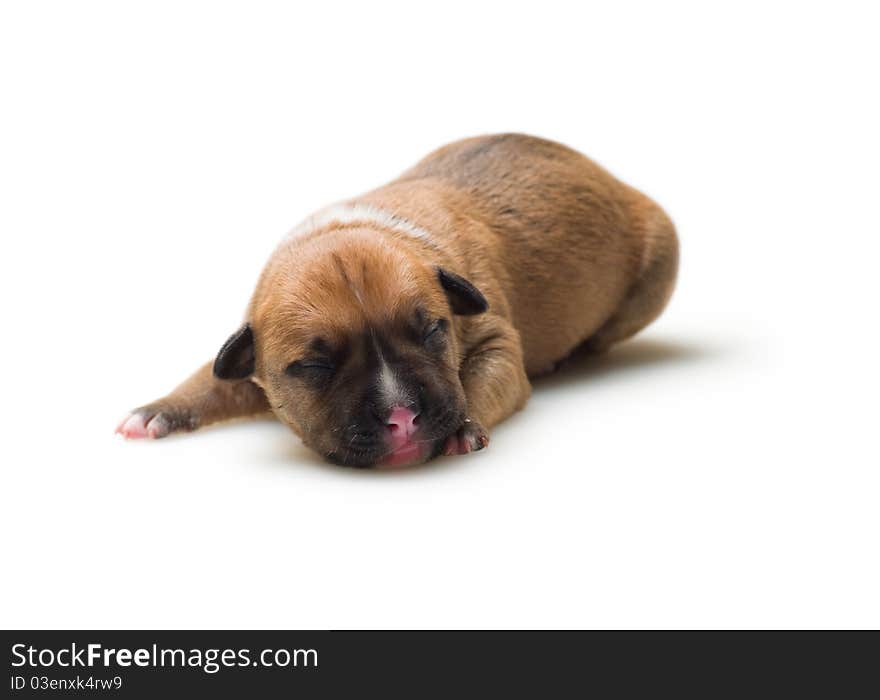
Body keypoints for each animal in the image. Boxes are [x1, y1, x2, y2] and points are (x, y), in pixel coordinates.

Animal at [117, 134, 676, 468]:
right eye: (315, 366)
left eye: (432, 331)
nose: (403, 420)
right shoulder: (249, 355)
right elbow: (210, 381)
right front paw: (157, 410)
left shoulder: (495, 339)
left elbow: (486, 377)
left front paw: (463, 427)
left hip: (658, 266)